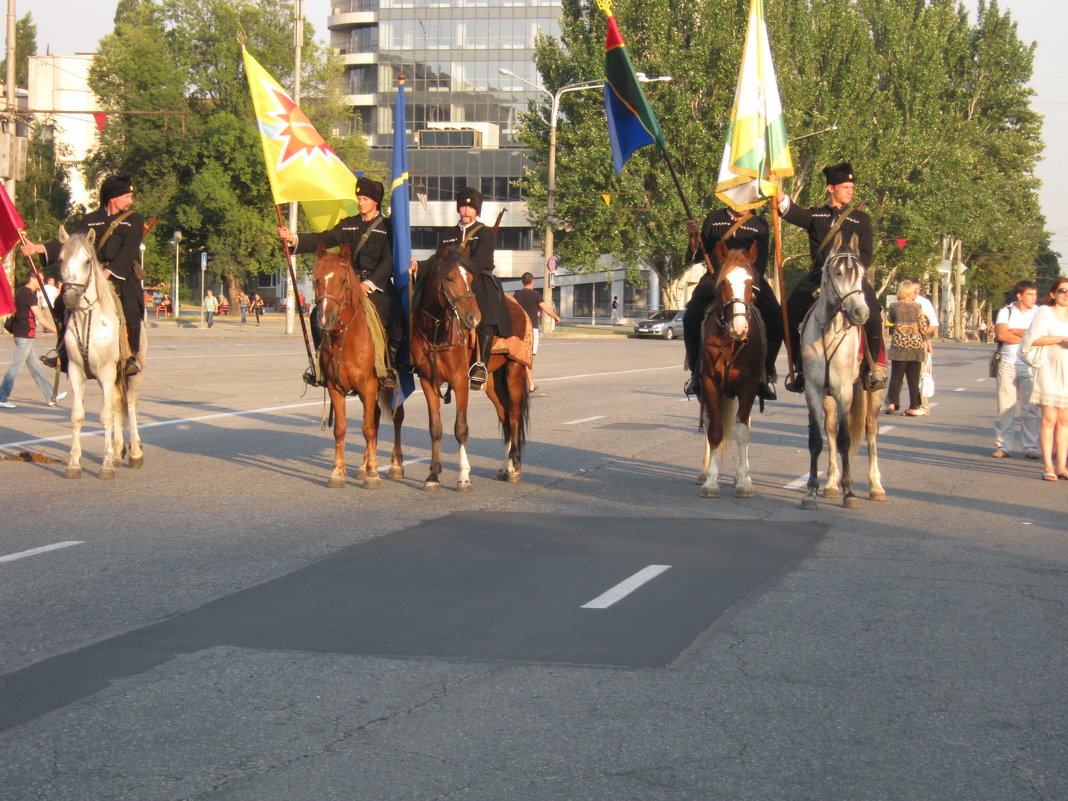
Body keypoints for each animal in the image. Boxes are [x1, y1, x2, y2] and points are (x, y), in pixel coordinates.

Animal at [313, 241, 405, 493]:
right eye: (316, 279)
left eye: (343, 281)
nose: (325, 319)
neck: (345, 337)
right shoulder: (336, 389)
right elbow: (341, 429)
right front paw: (337, 472)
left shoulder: (369, 386)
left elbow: (367, 428)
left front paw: (373, 475)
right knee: (375, 418)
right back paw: (364, 466)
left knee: (395, 418)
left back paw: (395, 465)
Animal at [410, 244, 531, 493]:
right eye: (449, 278)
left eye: (471, 279)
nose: (473, 318)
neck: (436, 332)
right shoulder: (427, 381)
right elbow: (435, 428)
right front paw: (433, 476)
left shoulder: (459, 382)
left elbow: (461, 428)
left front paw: (464, 477)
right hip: (493, 382)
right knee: (505, 416)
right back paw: (505, 467)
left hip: (514, 373)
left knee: (514, 416)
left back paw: (514, 468)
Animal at [696, 241, 764, 499]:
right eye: (724, 282)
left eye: (750, 282)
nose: (739, 328)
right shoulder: (709, 383)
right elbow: (715, 430)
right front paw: (711, 481)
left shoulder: (749, 386)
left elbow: (742, 431)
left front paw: (744, 481)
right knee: (709, 421)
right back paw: (704, 472)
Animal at [798, 231, 888, 510]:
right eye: (837, 273)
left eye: (860, 274)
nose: (860, 313)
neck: (828, 331)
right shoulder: (814, 390)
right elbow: (817, 439)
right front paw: (812, 491)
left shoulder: (844, 391)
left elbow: (846, 440)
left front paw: (849, 493)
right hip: (829, 397)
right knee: (830, 428)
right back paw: (830, 484)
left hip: (873, 392)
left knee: (871, 430)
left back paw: (876, 486)